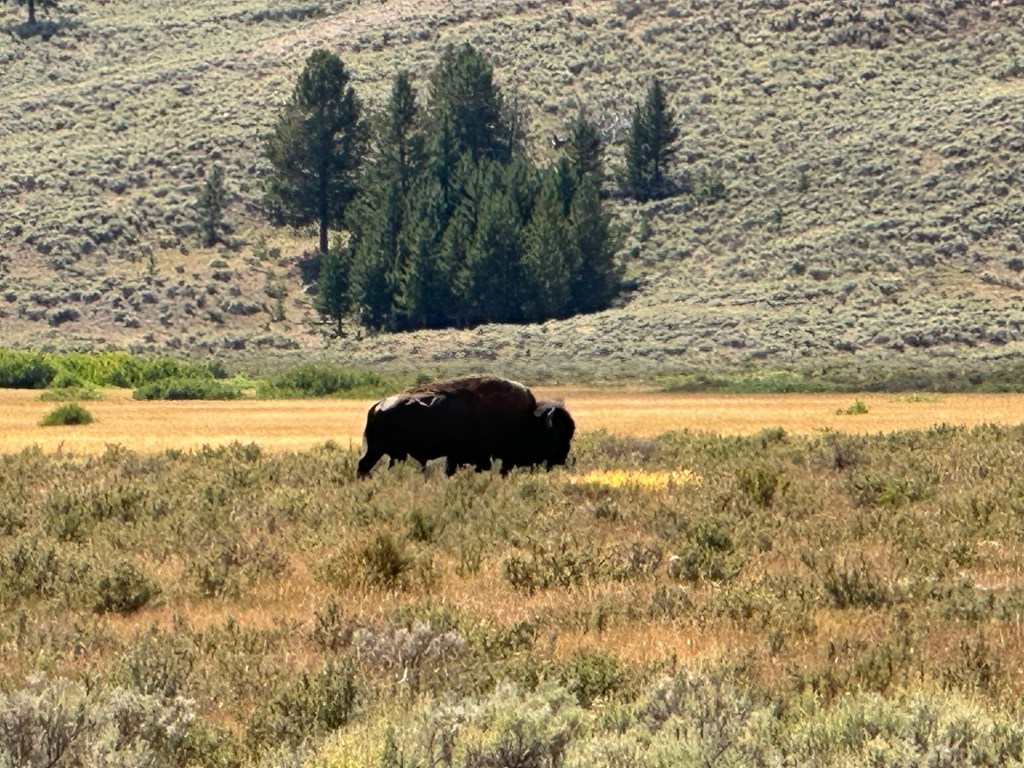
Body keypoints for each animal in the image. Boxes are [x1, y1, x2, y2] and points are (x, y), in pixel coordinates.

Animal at [356, 375, 575, 477]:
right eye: (557, 435)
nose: (562, 457)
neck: (527, 419)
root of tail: (377, 405)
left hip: (387, 452)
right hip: (379, 449)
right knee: (363, 465)